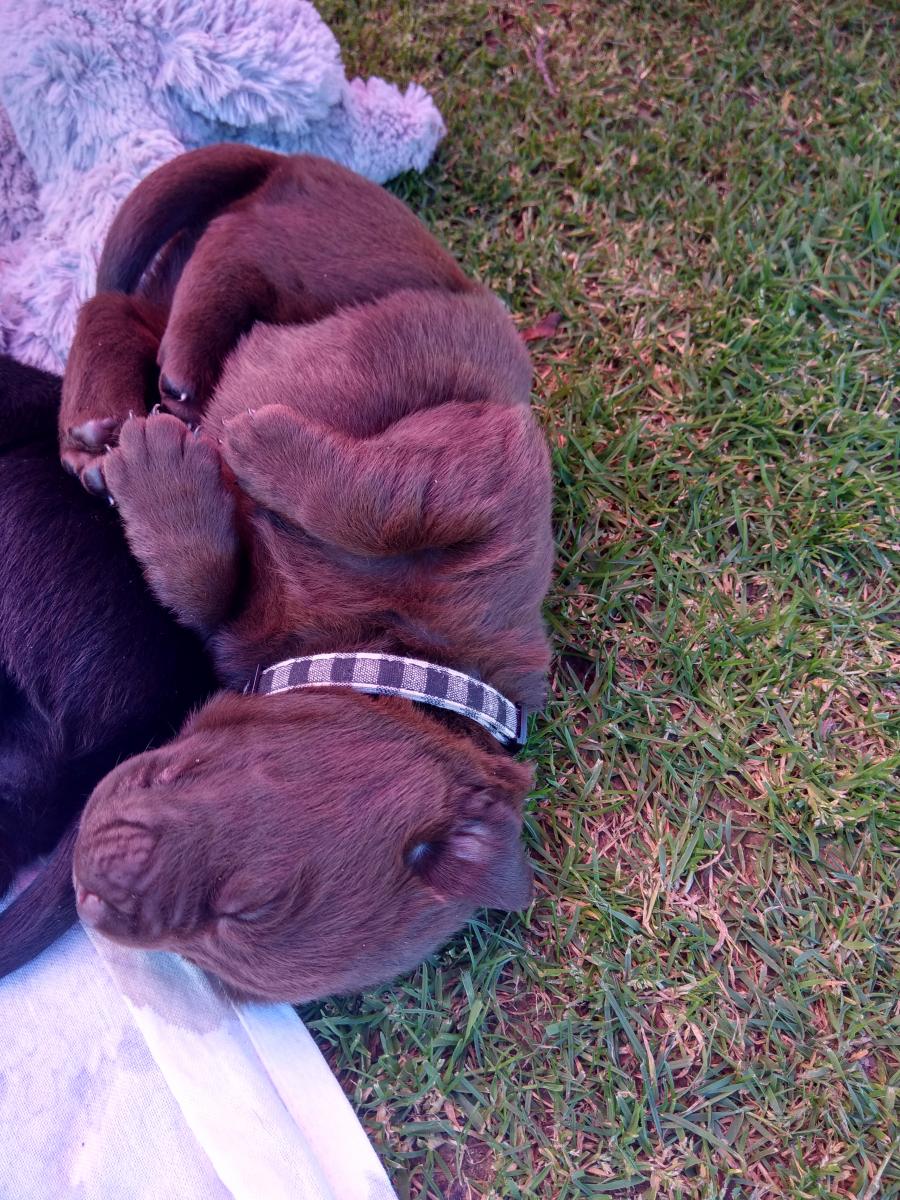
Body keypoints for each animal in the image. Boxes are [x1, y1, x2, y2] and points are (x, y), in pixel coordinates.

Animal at [63, 146, 554, 1002]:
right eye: (249, 906)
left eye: (230, 928)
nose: (89, 899)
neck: (384, 651)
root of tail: (289, 159)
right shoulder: (493, 467)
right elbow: (389, 499)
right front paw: (253, 443)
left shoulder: (235, 620)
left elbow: (203, 574)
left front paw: (162, 469)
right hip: (346, 254)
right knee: (225, 251)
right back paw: (160, 383)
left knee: (127, 307)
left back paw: (109, 425)